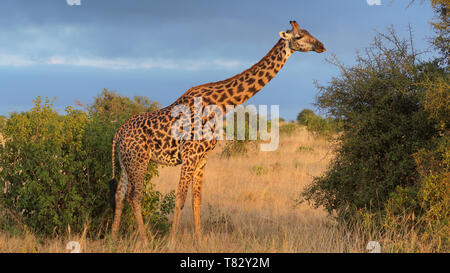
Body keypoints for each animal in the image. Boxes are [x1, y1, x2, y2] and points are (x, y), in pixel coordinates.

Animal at [109, 20, 326, 240]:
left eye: (308, 32)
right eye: (298, 36)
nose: (321, 46)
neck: (220, 105)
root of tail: (119, 132)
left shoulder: (202, 157)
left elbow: (197, 200)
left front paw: (198, 241)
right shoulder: (189, 156)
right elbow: (180, 199)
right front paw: (171, 241)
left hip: (125, 161)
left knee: (119, 195)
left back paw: (113, 238)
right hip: (139, 160)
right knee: (134, 196)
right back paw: (145, 240)